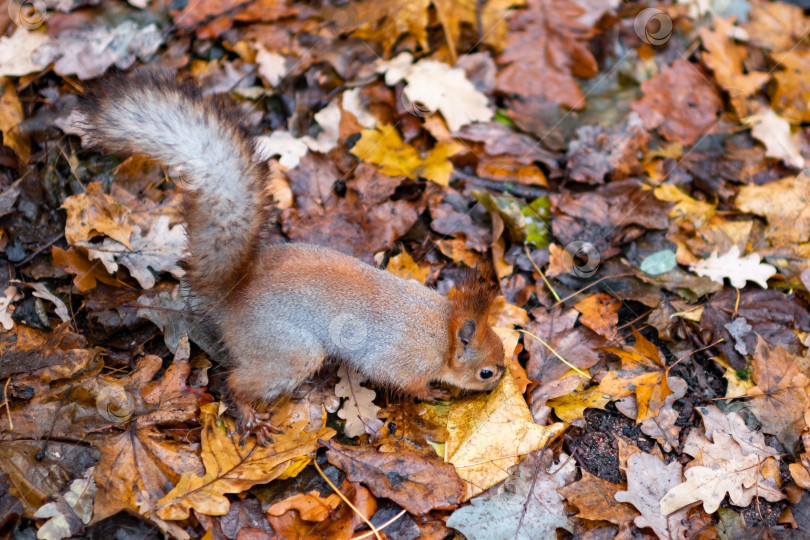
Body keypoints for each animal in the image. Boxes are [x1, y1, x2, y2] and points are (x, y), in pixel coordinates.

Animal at [77, 70, 504, 442]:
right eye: (485, 372)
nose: (501, 379)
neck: (443, 330)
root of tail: (233, 296)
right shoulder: (404, 359)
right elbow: (405, 382)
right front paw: (432, 393)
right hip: (291, 350)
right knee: (236, 382)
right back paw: (251, 416)